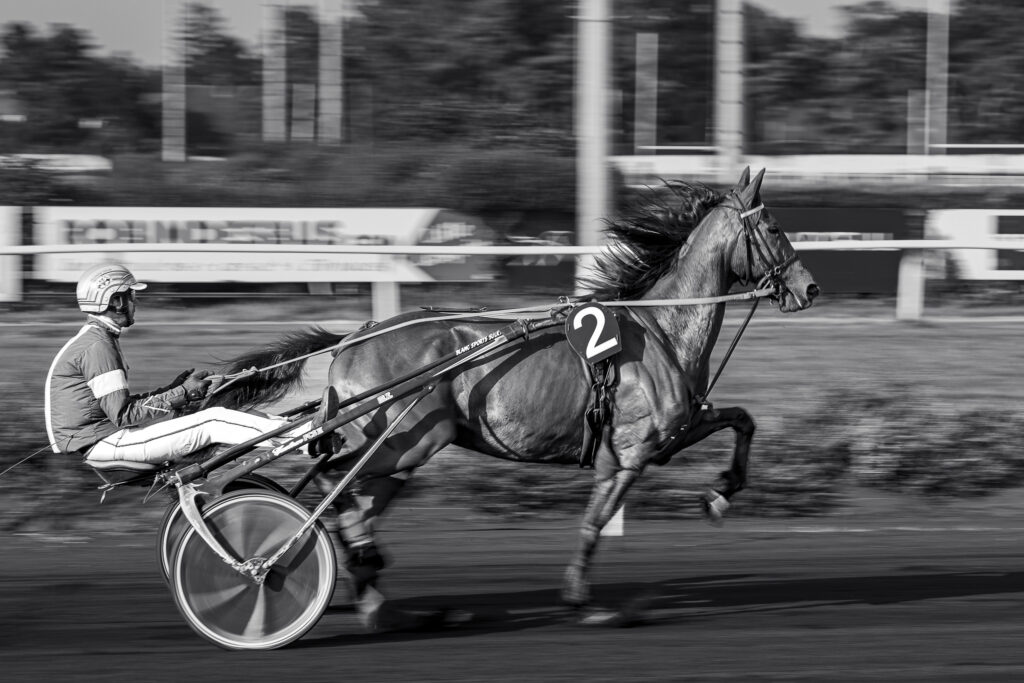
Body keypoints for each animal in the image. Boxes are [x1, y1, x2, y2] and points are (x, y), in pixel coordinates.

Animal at [208, 167, 819, 628]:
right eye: (773, 226)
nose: (809, 287)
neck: (663, 329)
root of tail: (353, 338)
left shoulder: (675, 430)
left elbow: (744, 420)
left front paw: (720, 493)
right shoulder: (629, 453)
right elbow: (596, 521)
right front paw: (581, 599)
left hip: (402, 450)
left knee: (352, 496)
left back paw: (374, 592)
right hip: (408, 440)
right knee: (338, 485)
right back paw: (324, 565)